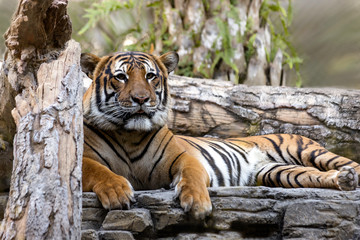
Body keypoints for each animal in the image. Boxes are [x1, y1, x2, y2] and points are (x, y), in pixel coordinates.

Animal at [81, 50, 360, 219]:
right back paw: (343, 180)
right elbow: (99, 171)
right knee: (314, 175)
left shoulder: (184, 158)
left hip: (305, 150)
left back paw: (349, 176)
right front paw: (117, 192)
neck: (129, 134)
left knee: (347, 164)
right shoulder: (80, 159)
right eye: (120, 77)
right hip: (277, 172)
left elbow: (193, 177)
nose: (141, 99)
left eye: (150, 76)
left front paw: (198, 204)